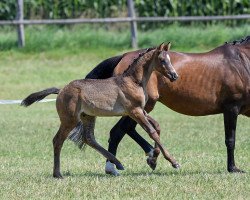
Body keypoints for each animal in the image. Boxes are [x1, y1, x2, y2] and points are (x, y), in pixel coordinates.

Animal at [20, 42, 179, 178]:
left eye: (170, 59)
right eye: (162, 60)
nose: (174, 76)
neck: (133, 81)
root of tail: (61, 91)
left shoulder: (139, 110)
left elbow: (156, 126)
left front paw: (154, 158)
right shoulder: (134, 111)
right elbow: (151, 131)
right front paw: (174, 162)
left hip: (87, 116)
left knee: (89, 138)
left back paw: (117, 163)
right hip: (70, 119)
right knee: (58, 140)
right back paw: (58, 174)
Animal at [84, 35, 250, 175]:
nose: (174, 76)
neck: (243, 62)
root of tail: (122, 57)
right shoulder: (231, 108)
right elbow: (230, 139)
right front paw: (233, 168)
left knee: (127, 129)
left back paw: (150, 155)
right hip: (141, 106)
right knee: (118, 131)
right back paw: (114, 167)